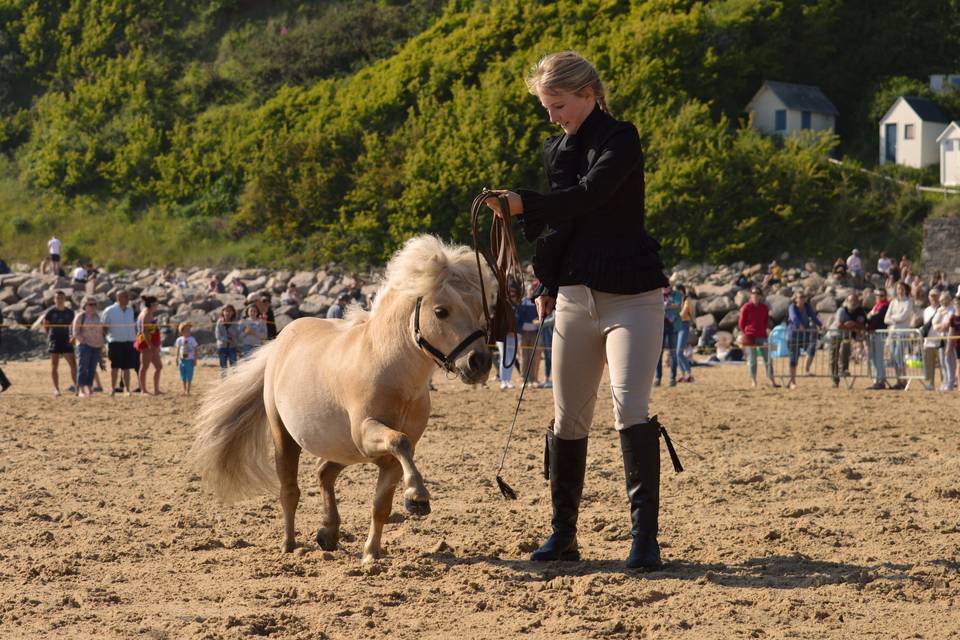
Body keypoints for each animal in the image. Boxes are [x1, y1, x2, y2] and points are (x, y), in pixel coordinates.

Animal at [193, 235, 496, 560]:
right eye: (441, 311)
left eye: (479, 307)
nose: (480, 363)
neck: (391, 370)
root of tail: (282, 339)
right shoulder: (366, 433)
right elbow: (398, 441)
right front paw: (417, 497)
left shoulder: (388, 458)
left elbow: (381, 505)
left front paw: (371, 553)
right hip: (286, 437)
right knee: (290, 490)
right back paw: (290, 544)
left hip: (342, 448)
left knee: (324, 473)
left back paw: (328, 532)